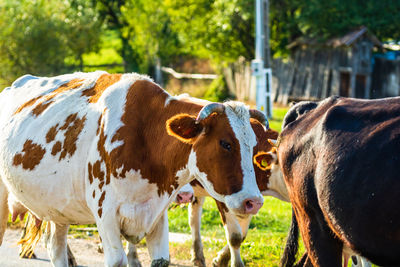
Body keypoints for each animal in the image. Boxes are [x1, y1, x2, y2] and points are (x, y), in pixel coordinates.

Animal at [0, 71, 266, 267]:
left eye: (253, 144)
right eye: (225, 143)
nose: (253, 202)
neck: (146, 136)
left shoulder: (157, 214)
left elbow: (160, 259)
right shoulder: (106, 215)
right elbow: (118, 260)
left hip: (58, 210)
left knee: (56, 249)